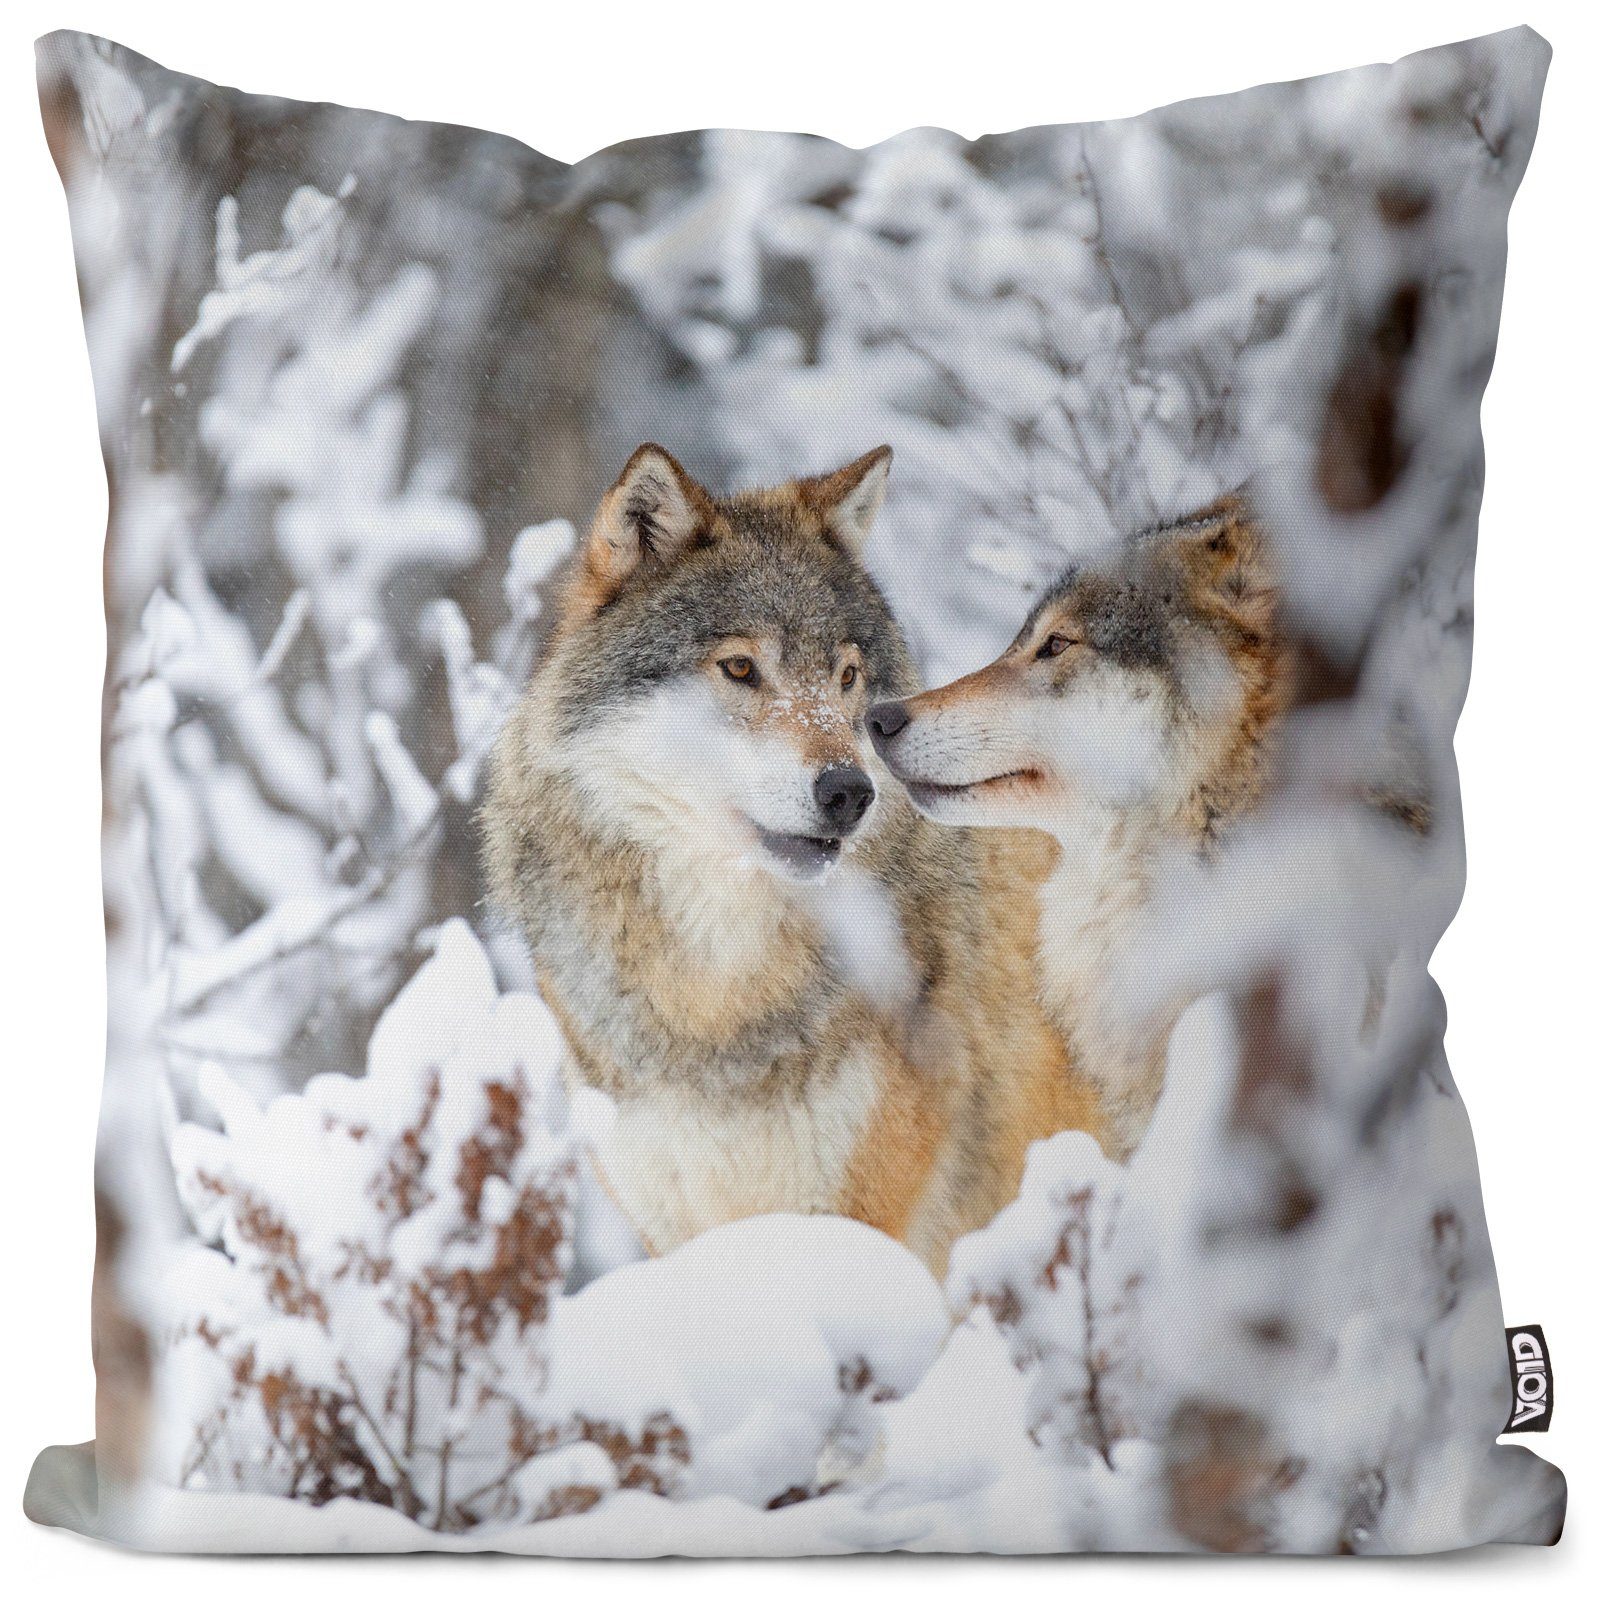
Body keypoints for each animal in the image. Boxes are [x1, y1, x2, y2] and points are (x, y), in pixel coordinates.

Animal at [483, 444, 1107, 1271]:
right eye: (741, 669)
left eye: (846, 677)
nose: (851, 791)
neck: (715, 1000)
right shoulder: (673, 1230)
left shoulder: (855, 1222)